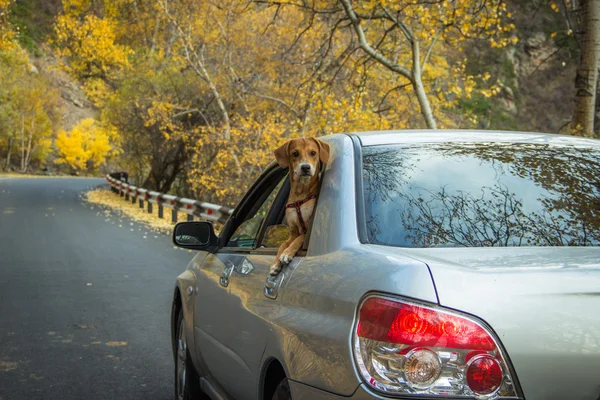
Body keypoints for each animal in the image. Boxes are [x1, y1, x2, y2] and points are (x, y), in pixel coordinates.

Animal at [270, 138, 330, 276]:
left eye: (313, 153)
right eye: (295, 153)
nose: (305, 167)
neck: (300, 193)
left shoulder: (307, 230)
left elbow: (300, 238)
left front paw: (286, 254)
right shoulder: (292, 232)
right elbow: (282, 244)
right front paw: (275, 264)